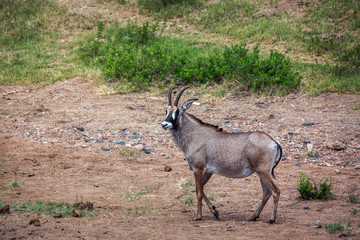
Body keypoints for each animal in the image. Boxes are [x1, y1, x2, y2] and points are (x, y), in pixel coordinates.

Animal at [162, 86, 282, 223]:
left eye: (177, 111)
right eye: (166, 110)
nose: (165, 124)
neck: (194, 135)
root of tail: (274, 142)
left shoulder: (198, 169)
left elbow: (199, 193)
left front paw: (198, 216)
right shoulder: (207, 171)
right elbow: (199, 189)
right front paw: (215, 212)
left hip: (263, 172)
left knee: (275, 191)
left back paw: (271, 219)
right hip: (262, 173)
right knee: (266, 192)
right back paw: (253, 216)